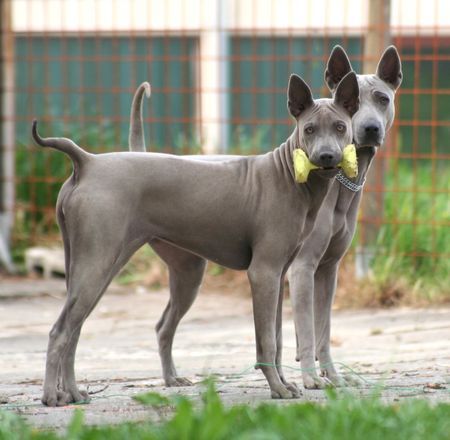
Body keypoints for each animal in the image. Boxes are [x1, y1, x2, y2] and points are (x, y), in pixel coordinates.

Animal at [33, 71, 360, 406]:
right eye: (309, 129)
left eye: (340, 127)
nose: (326, 156)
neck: (290, 177)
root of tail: (86, 161)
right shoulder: (264, 273)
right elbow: (267, 340)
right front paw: (278, 389)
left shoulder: (280, 274)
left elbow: (278, 339)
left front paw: (284, 384)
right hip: (98, 264)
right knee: (60, 331)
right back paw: (52, 395)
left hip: (101, 267)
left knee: (77, 329)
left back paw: (74, 392)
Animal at [128, 43, 402, 388]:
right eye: (358, 106)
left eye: (382, 99)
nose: (369, 129)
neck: (336, 188)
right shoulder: (302, 269)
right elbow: (308, 329)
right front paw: (311, 379)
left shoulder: (329, 270)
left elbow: (323, 330)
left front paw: (333, 376)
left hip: (187, 271)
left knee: (164, 325)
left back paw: (172, 378)